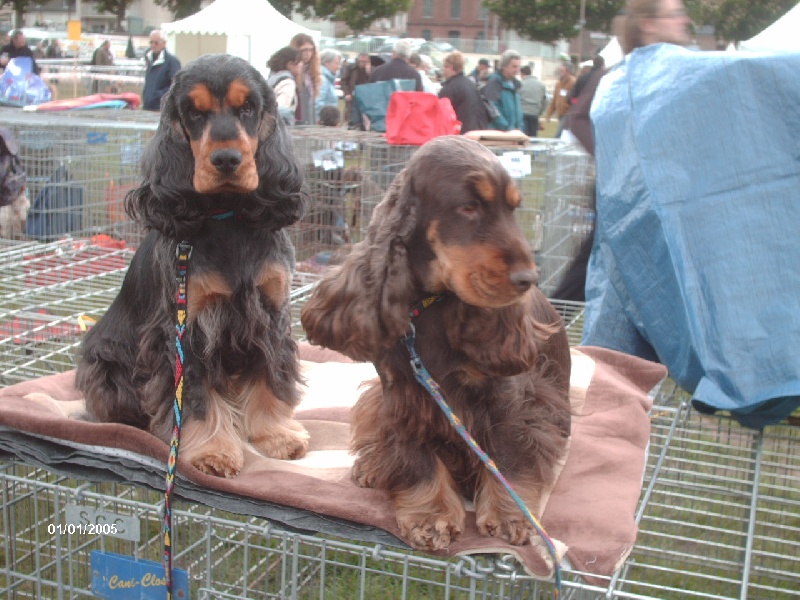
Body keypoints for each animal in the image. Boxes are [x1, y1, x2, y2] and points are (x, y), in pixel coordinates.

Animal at [76, 54, 310, 478]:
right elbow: (196, 396)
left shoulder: (270, 314)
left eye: (247, 108)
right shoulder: (186, 328)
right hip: (103, 363)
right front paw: (211, 451)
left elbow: (271, 374)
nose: (226, 159)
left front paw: (277, 436)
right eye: (194, 113)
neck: (228, 218)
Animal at [301, 135, 572, 552]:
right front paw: (430, 516)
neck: (431, 306)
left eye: (513, 209)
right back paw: (371, 466)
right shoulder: (404, 394)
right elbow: (417, 460)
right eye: (469, 207)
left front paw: (510, 514)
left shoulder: (508, 400)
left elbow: (508, 453)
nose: (528, 278)